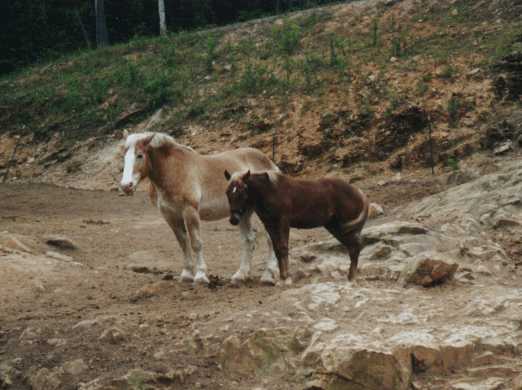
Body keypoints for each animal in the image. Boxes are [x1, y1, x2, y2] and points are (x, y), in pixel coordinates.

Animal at [119, 131, 278, 284]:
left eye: (140, 155)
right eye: (124, 157)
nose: (126, 186)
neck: (173, 170)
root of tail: (269, 163)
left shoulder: (190, 211)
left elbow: (196, 243)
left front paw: (201, 276)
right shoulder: (170, 215)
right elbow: (183, 243)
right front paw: (186, 274)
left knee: (270, 238)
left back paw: (268, 276)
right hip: (243, 213)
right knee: (249, 240)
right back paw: (240, 276)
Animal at [225, 171, 368, 284]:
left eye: (242, 192)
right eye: (227, 193)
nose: (233, 219)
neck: (271, 191)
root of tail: (358, 192)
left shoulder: (283, 222)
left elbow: (283, 248)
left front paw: (286, 278)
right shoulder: (270, 225)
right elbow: (277, 249)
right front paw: (282, 277)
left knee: (355, 247)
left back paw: (352, 277)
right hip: (336, 227)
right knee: (353, 247)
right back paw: (350, 277)